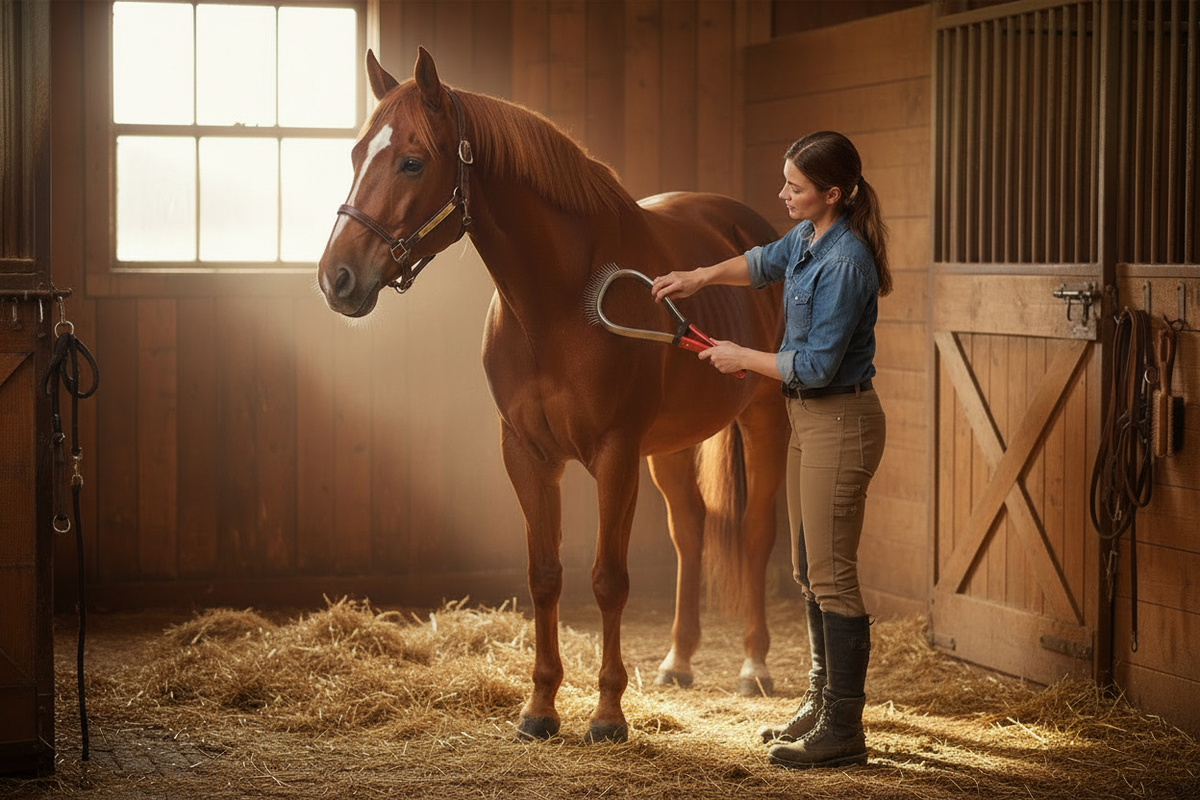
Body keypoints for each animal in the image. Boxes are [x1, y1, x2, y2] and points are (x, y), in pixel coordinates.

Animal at [318, 47, 789, 744]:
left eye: (412, 161)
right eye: (355, 155)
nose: (337, 279)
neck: (558, 302)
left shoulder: (615, 455)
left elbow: (608, 579)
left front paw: (608, 714)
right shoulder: (527, 453)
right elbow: (545, 576)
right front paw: (540, 707)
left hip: (763, 417)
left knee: (755, 533)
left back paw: (754, 666)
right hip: (670, 446)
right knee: (690, 532)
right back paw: (677, 661)